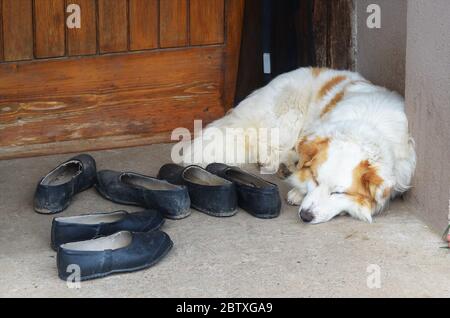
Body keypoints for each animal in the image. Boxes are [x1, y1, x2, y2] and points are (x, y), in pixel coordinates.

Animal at [181, 67, 416, 224]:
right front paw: (298, 189)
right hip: (289, 117)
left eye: (338, 193)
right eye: (316, 179)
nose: (305, 216)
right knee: (266, 150)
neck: (363, 127)